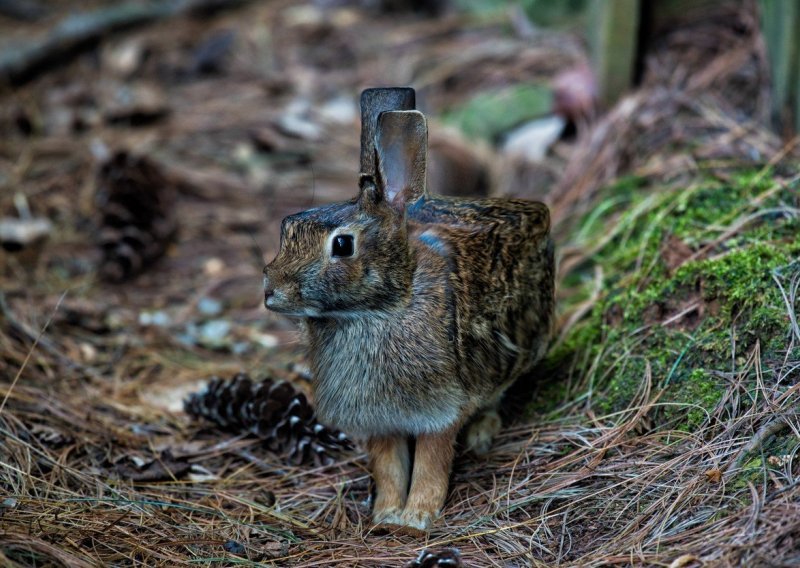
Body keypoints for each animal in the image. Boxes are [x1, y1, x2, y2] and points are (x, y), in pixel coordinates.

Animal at [266, 87, 552, 532]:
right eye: (285, 228)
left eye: (342, 245)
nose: (271, 291)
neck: (379, 309)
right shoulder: (380, 421)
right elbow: (388, 466)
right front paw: (386, 515)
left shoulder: (441, 408)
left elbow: (432, 462)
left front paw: (417, 517)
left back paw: (481, 435)